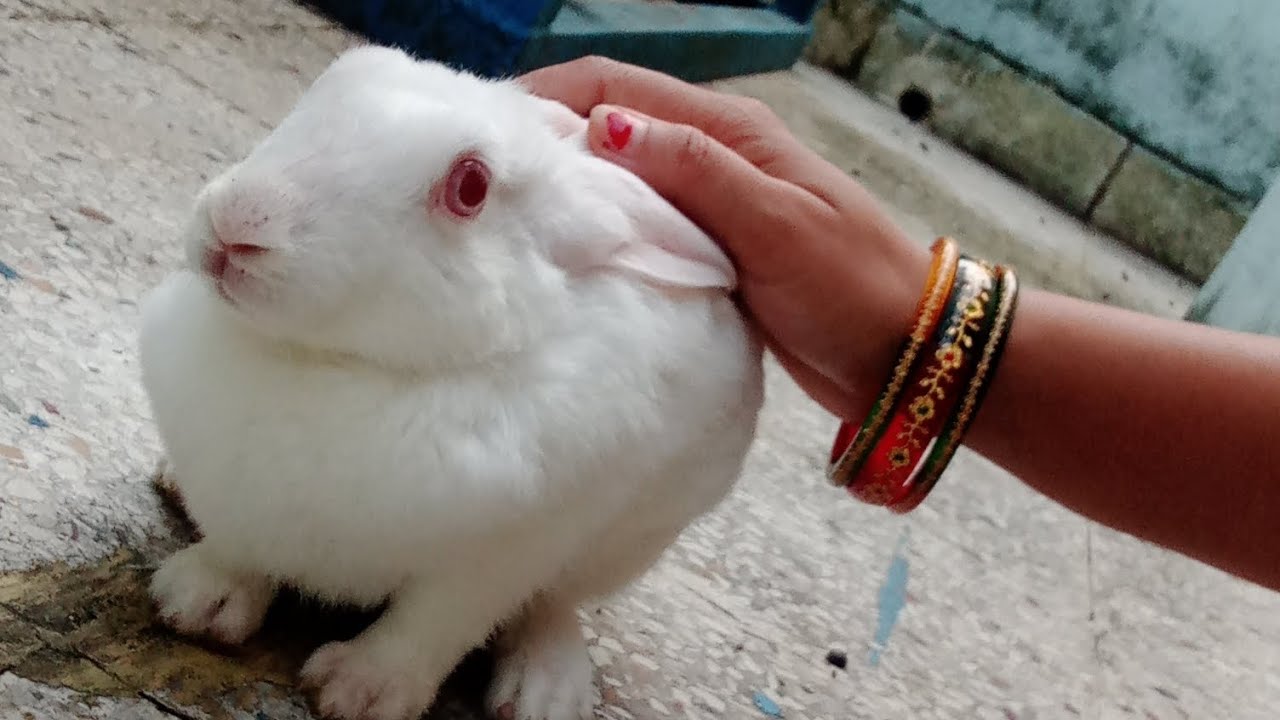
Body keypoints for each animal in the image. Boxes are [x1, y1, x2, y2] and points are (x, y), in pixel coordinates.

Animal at [138, 45, 765, 720]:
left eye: (470, 187)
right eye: (332, 81)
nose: (237, 224)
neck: (332, 362)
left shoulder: (501, 554)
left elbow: (433, 625)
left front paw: (357, 694)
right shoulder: (238, 494)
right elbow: (239, 550)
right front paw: (195, 605)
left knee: (550, 606)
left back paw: (545, 692)